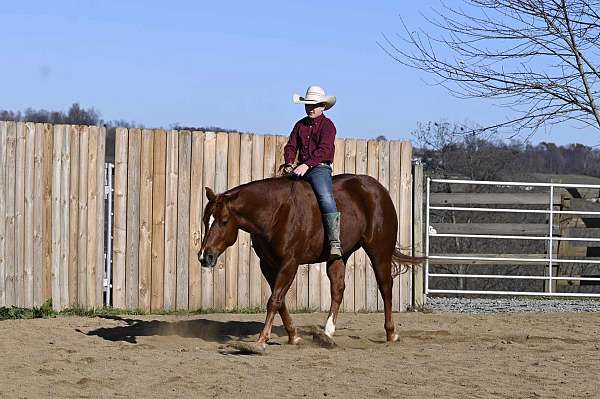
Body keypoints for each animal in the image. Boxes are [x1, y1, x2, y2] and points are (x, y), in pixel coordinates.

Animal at [198, 174, 422, 350]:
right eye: (205, 219)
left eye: (223, 221)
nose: (204, 256)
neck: (276, 212)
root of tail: (379, 190)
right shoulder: (268, 265)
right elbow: (279, 301)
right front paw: (294, 336)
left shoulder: (289, 263)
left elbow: (274, 300)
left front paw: (261, 340)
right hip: (338, 255)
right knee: (338, 288)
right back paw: (327, 334)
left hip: (379, 252)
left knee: (385, 287)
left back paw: (391, 333)